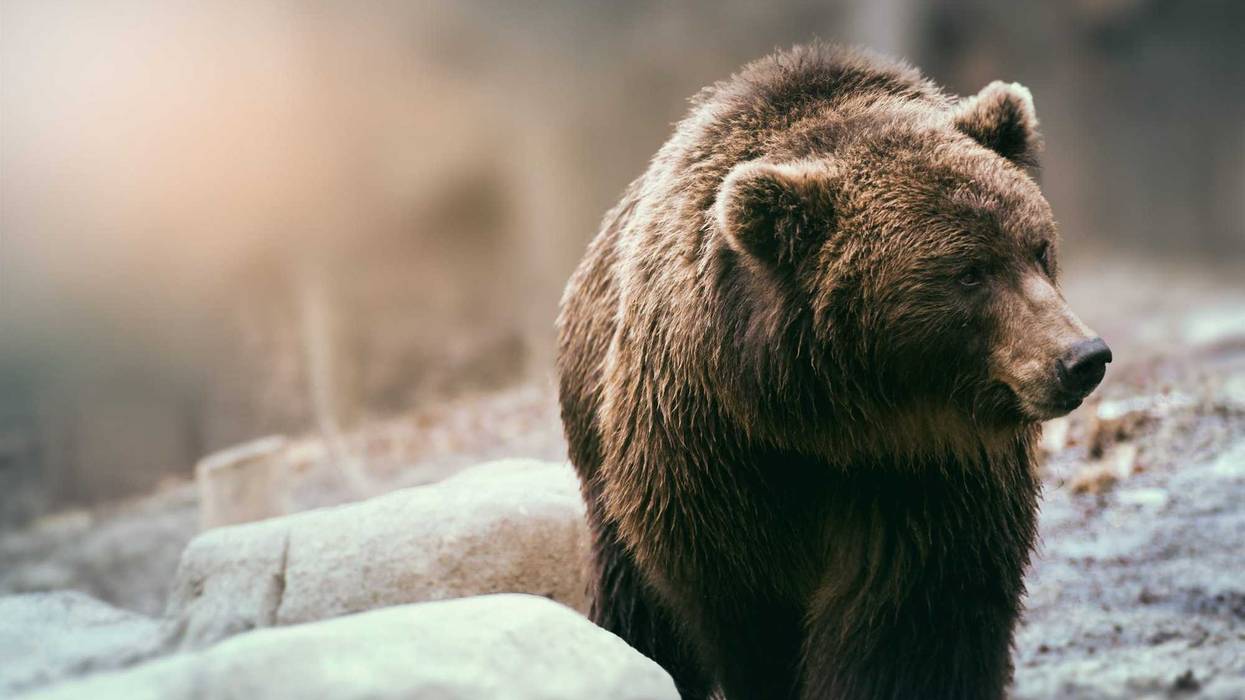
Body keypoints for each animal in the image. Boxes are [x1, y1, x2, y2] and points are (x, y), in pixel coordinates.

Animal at [556, 44, 1110, 700]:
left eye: (1039, 247)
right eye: (968, 272)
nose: (1082, 357)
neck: (835, 423)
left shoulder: (931, 482)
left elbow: (914, 623)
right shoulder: (711, 459)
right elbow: (748, 611)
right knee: (635, 600)